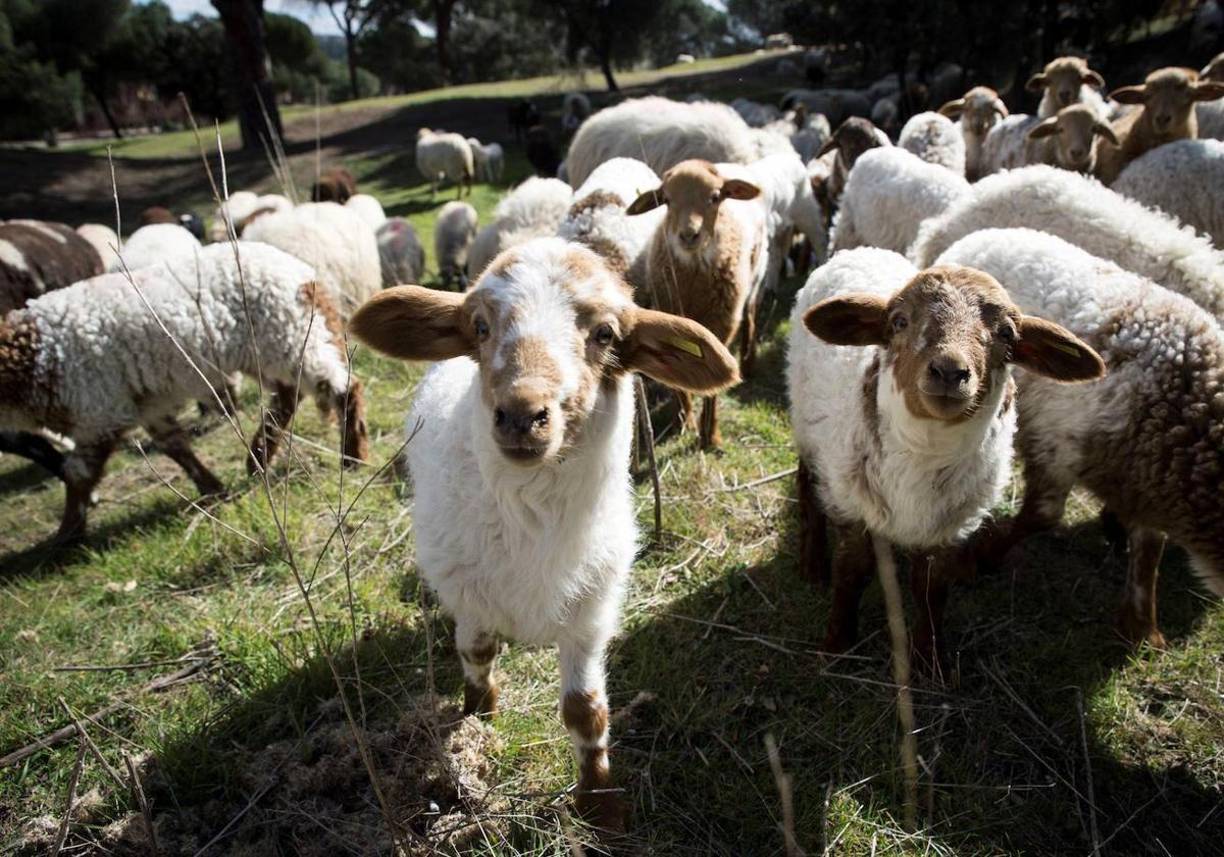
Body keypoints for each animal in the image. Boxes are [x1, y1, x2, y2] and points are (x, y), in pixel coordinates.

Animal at [0, 241, 369, 542]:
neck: (34, 356)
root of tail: (303, 274)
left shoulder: (99, 412)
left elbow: (77, 473)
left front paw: (66, 534)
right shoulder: (143, 406)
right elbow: (175, 447)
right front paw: (212, 490)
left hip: (290, 337)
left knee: (341, 388)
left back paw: (351, 456)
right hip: (273, 349)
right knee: (290, 395)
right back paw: (258, 457)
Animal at [349, 236, 738, 832]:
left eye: (606, 334)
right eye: (480, 326)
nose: (521, 414)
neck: (534, 519)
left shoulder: (591, 611)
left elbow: (586, 711)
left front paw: (600, 804)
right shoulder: (468, 593)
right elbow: (477, 653)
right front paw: (477, 721)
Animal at [627, 159, 767, 439]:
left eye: (715, 197)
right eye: (666, 200)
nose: (689, 235)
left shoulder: (722, 323)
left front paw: (710, 435)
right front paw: (685, 423)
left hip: (756, 273)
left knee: (750, 314)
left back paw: (748, 361)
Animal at [787, 248, 1103, 660]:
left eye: (1007, 334)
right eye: (899, 321)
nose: (950, 371)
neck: (926, 449)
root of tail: (861, 251)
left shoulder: (949, 528)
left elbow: (931, 590)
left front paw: (929, 659)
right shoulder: (852, 503)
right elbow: (852, 570)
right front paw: (838, 643)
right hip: (807, 423)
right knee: (806, 482)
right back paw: (812, 564)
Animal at [937, 227, 1224, 648]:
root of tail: (983, 236)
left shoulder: (1143, 475)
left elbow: (1150, 547)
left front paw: (1141, 628)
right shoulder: (1058, 445)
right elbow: (1043, 515)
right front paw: (986, 554)